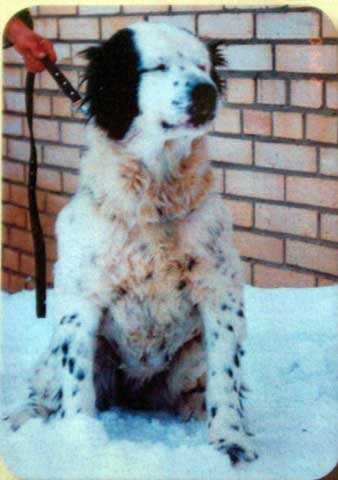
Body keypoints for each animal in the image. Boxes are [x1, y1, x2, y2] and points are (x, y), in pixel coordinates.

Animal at [5, 21, 258, 464]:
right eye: (157, 66)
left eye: (203, 67)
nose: (206, 91)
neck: (155, 201)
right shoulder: (81, 303)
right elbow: (77, 387)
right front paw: (81, 444)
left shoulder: (220, 293)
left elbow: (225, 380)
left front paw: (231, 439)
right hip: (69, 351)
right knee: (48, 391)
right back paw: (26, 417)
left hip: (190, 358)